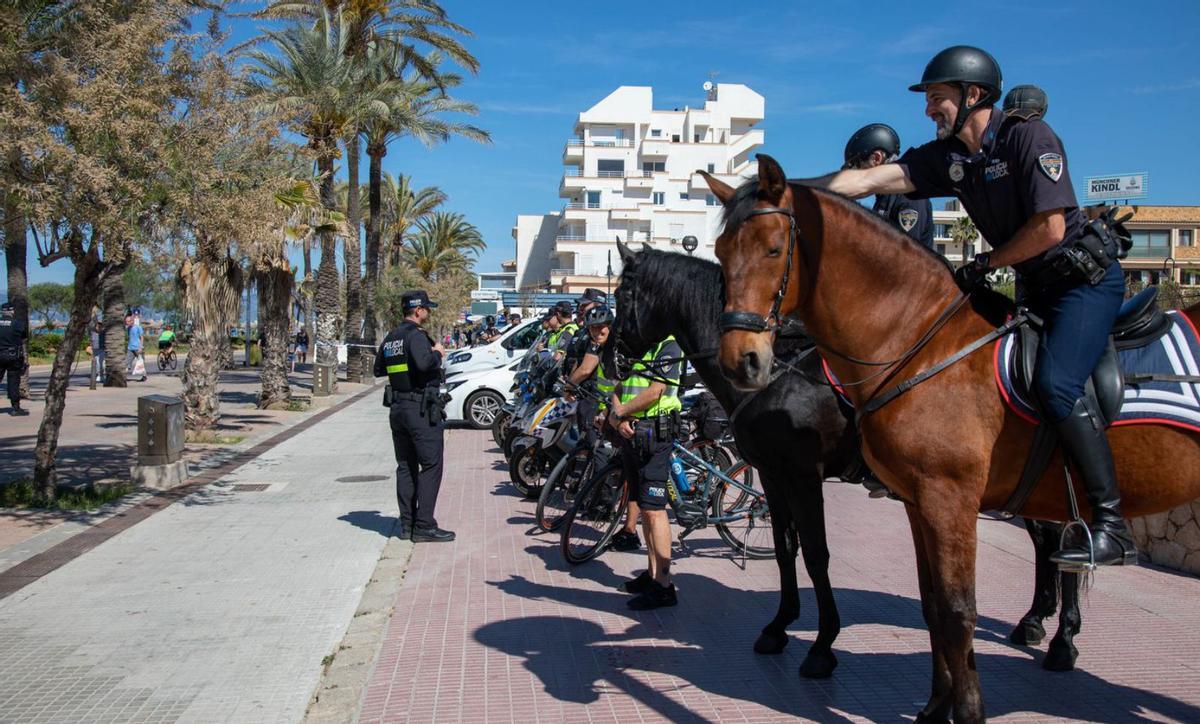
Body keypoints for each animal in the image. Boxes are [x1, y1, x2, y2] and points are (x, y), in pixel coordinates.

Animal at [700, 154, 1200, 724]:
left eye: (772, 248)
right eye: (721, 251)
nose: (742, 361)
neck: (918, 342)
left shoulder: (939, 497)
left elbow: (952, 606)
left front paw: (959, 705)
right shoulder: (915, 501)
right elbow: (931, 601)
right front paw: (937, 704)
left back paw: (1062, 632)